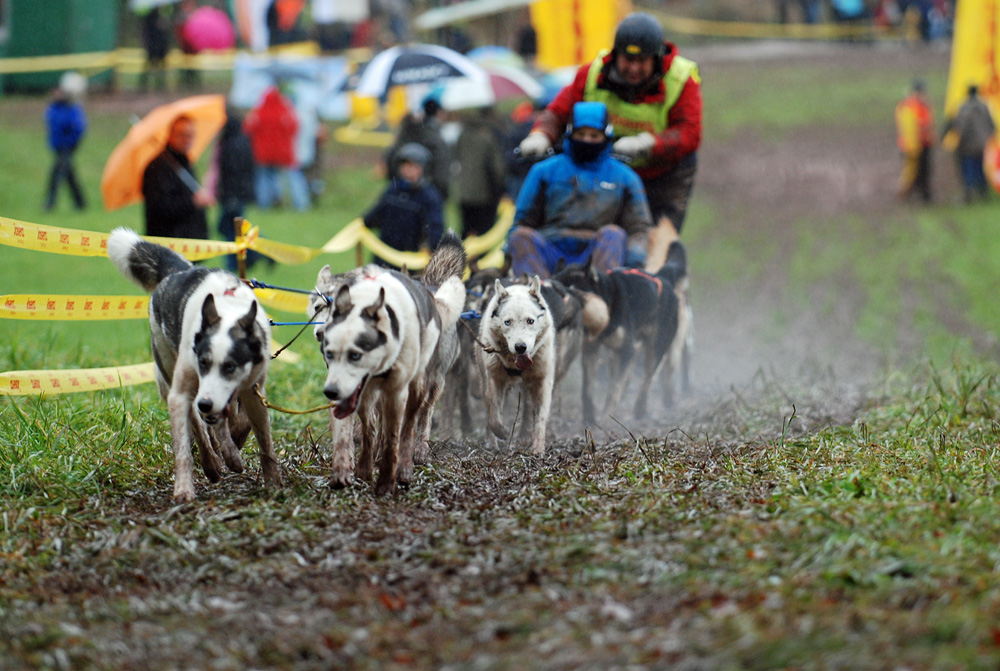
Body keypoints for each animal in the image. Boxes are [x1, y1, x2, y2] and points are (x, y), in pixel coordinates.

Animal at [108, 228, 282, 502]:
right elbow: (186, 446)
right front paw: (185, 488)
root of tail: (178, 271)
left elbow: (263, 441)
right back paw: (212, 463)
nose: (206, 403)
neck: (226, 311)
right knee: (198, 425)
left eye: (231, 366)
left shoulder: (252, 392)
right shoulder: (182, 392)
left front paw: (273, 482)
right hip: (170, 370)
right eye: (202, 361)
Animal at [314, 235, 466, 494]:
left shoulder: (396, 391)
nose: (322, 334)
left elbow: (396, 431)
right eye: (318, 308)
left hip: (431, 382)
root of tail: (430, 290)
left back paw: (417, 452)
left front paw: (390, 472)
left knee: (421, 416)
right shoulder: (352, 389)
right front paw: (349, 467)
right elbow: (359, 428)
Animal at [476, 276, 556, 454]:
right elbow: (494, 416)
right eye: (507, 322)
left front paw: (538, 448)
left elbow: (540, 418)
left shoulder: (542, 382)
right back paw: (493, 443)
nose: (520, 347)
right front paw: (502, 432)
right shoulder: (495, 380)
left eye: (530, 321)